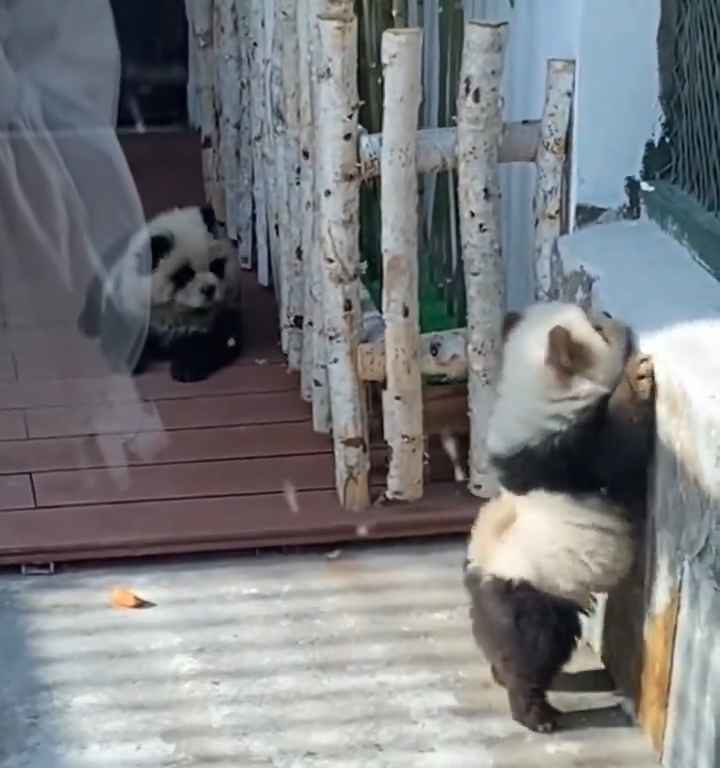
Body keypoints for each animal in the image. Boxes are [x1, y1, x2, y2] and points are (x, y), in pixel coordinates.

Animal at [78, 206, 242, 382]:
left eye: (216, 266)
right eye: (184, 275)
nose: (209, 289)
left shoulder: (222, 312)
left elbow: (219, 339)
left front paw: (186, 368)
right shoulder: (129, 299)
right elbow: (121, 332)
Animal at [464, 300, 656, 732]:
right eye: (598, 328)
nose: (614, 317)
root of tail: (482, 580)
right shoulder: (567, 453)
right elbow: (619, 453)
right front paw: (637, 378)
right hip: (532, 593)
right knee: (534, 651)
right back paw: (535, 713)